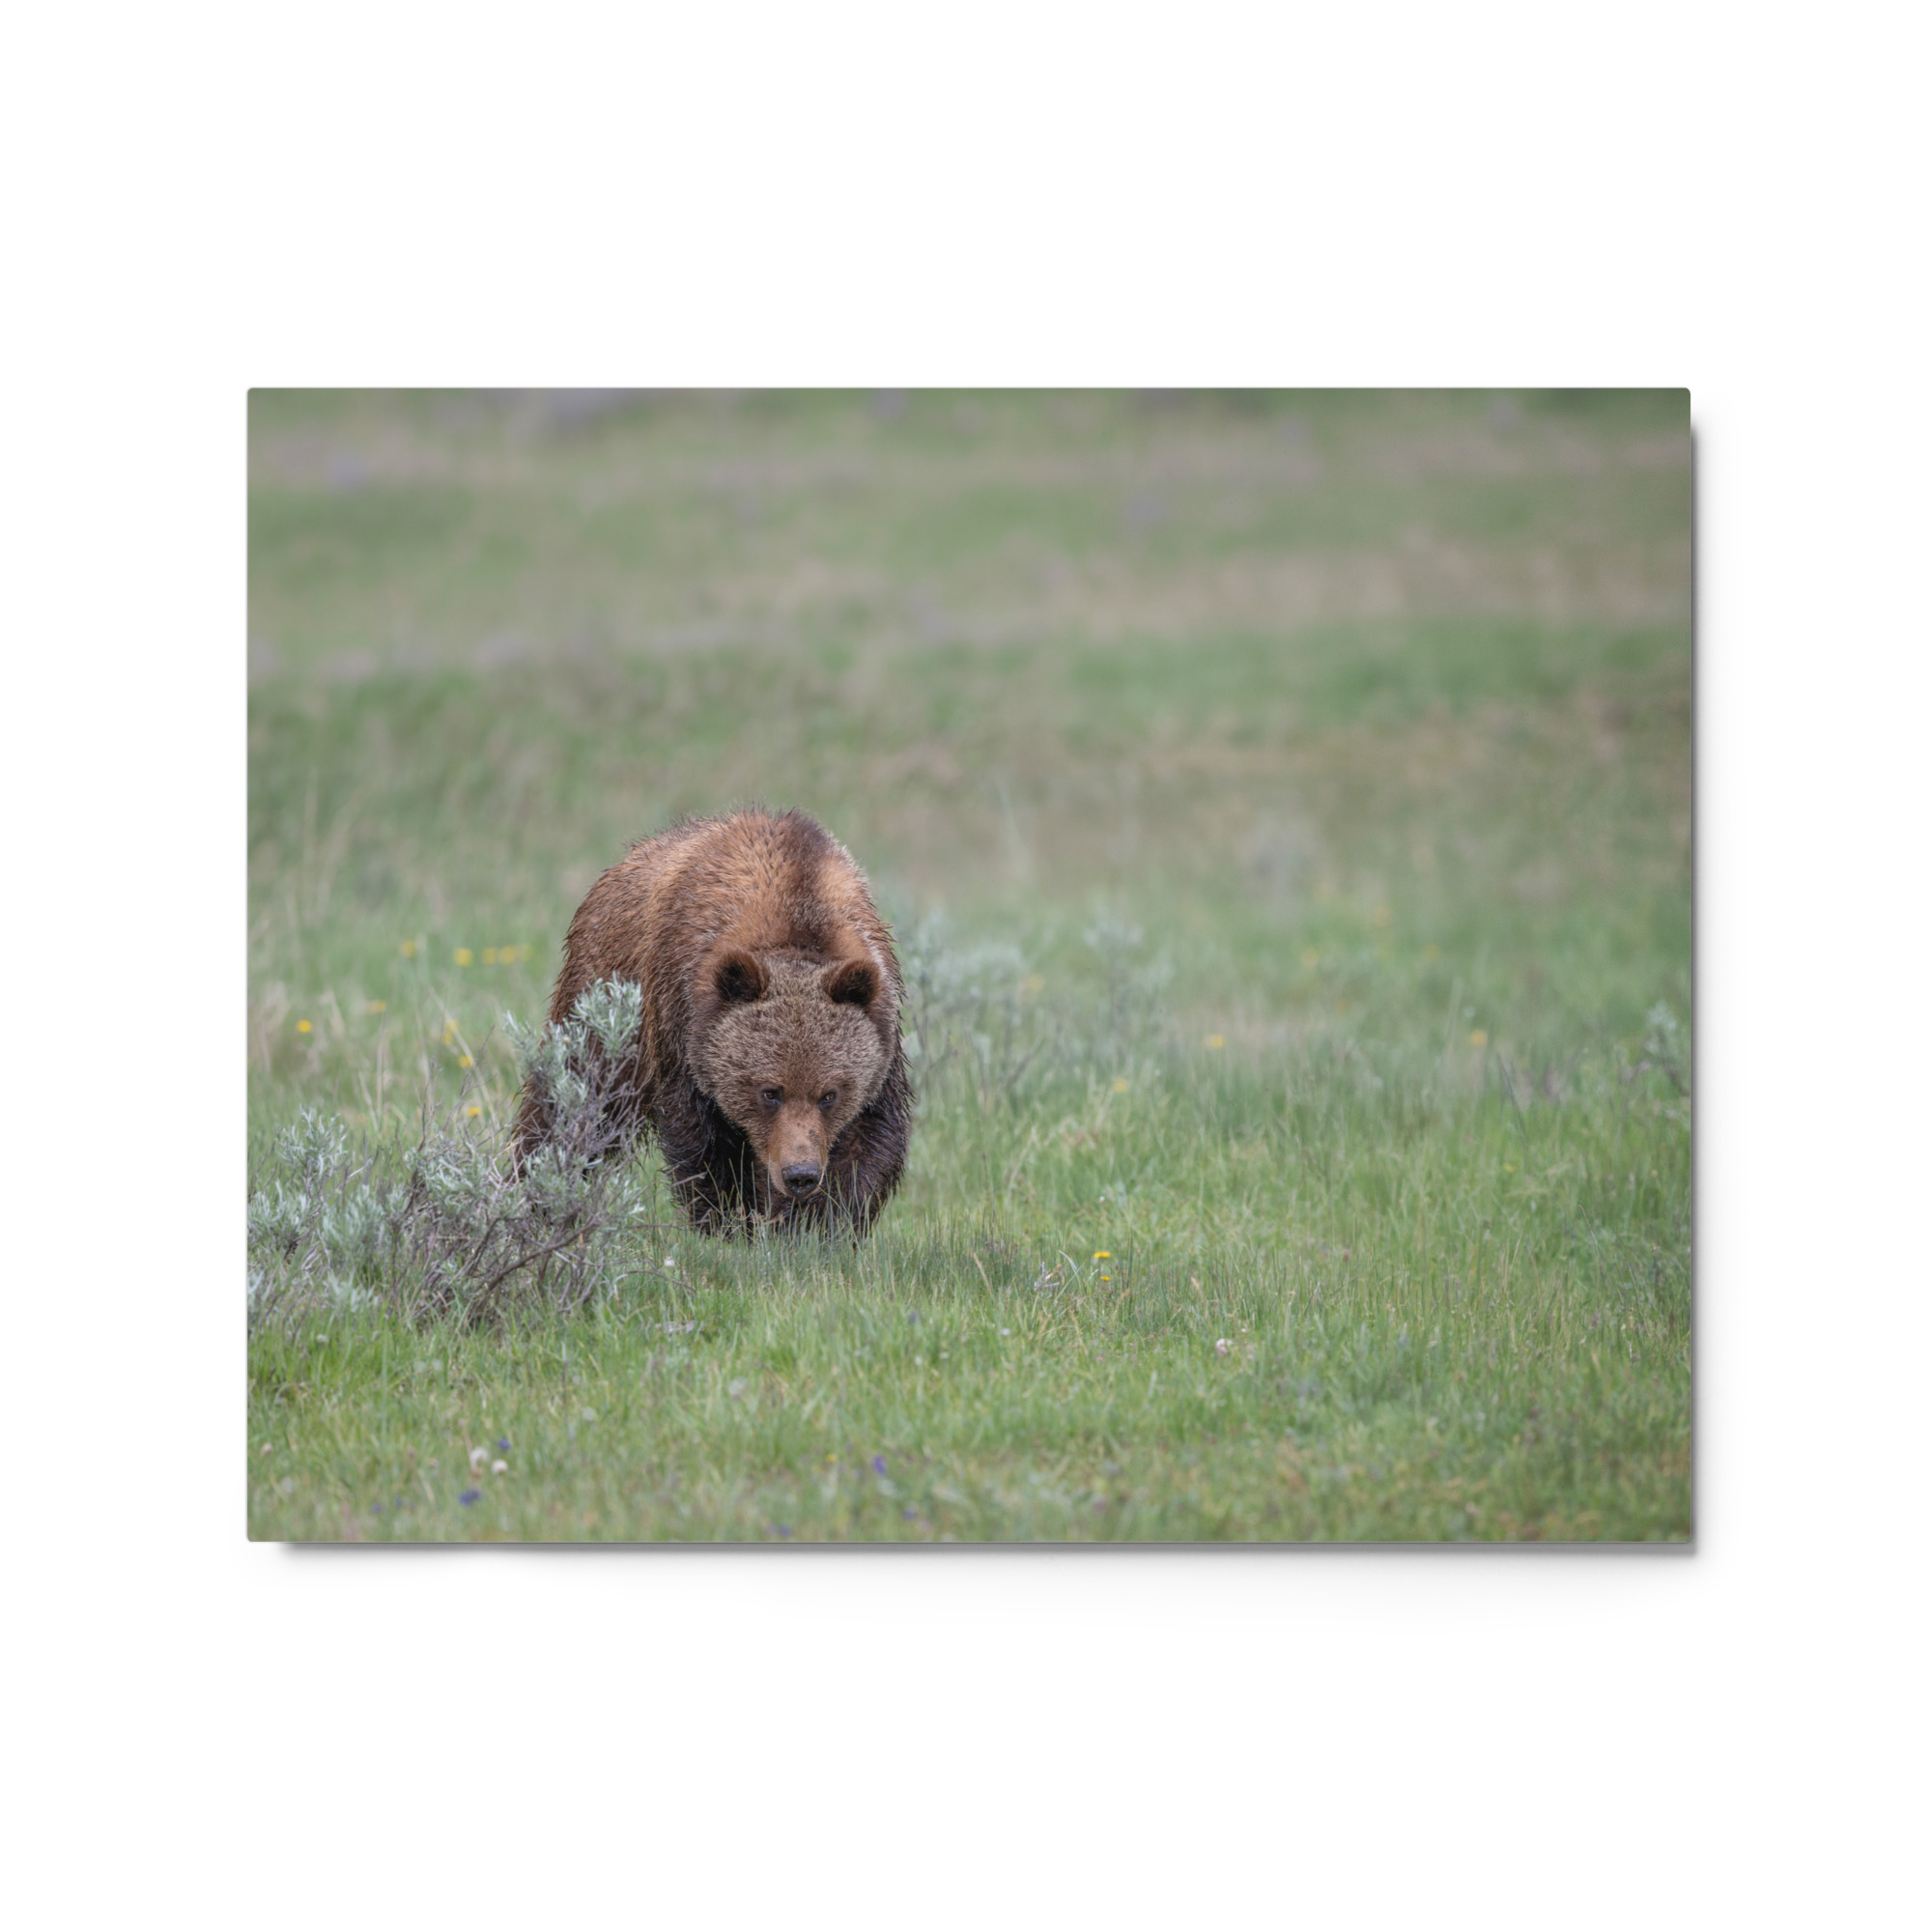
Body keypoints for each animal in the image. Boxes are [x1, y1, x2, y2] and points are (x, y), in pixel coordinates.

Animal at [511, 807, 913, 1235]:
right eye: (769, 1092)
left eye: (829, 1094)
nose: (800, 1174)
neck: (797, 912)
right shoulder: (682, 1024)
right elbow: (705, 1144)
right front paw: (728, 1223)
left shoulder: (881, 1035)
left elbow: (868, 1142)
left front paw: (815, 1226)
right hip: (603, 999)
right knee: (573, 1100)